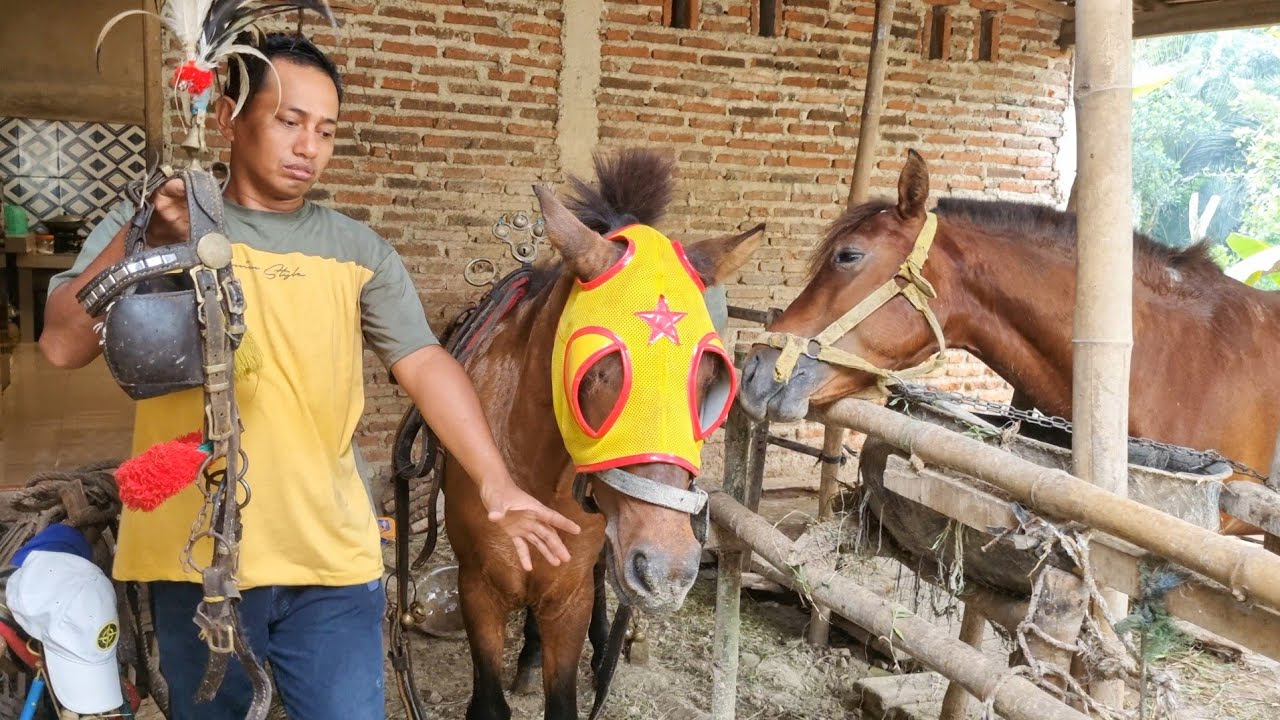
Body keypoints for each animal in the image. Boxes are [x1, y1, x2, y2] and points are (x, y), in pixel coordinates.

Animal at [442, 148, 765, 720]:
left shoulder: (570, 590)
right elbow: (489, 704)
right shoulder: (476, 585)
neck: (532, 472)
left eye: (710, 377)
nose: (666, 572)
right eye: (595, 371)